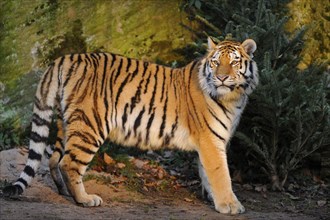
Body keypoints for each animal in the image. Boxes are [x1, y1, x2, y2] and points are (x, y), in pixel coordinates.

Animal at [3, 37, 260, 215]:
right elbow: (220, 174)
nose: (222, 78)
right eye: (216, 62)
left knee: (54, 159)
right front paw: (230, 205)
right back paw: (85, 199)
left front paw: (213, 199)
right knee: (69, 163)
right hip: (90, 125)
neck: (234, 97)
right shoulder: (210, 140)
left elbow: (207, 173)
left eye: (234, 61)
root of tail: (65, 58)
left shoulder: (209, 142)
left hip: (68, 124)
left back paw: (65, 191)